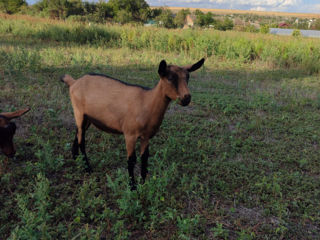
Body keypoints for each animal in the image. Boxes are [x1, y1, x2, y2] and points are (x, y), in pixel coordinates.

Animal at [60, 58, 205, 189]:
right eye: (169, 78)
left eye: (187, 77)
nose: (186, 98)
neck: (147, 102)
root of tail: (74, 82)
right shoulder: (130, 134)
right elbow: (131, 159)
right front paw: (132, 186)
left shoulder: (146, 136)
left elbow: (144, 157)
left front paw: (143, 183)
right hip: (78, 111)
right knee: (82, 139)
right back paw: (87, 168)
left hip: (88, 117)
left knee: (78, 132)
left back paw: (75, 157)